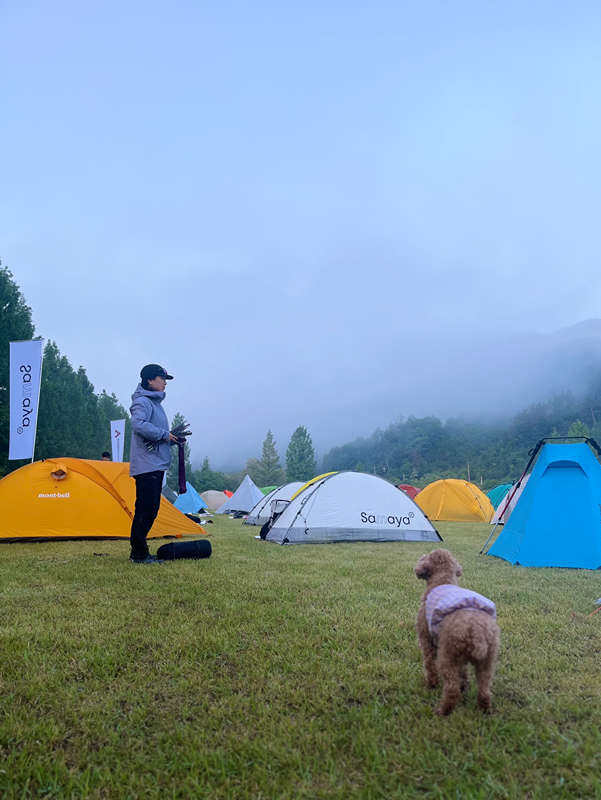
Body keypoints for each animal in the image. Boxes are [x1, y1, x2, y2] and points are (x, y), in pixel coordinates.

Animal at [414, 552, 500, 712]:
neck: (442, 581)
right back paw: (485, 710)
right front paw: (464, 685)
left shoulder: (426, 639)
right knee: (484, 689)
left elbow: (429, 665)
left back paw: (442, 711)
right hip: (487, 660)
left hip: (447, 656)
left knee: (452, 688)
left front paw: (430, 684)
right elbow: (464, 672)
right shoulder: (461, 658)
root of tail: (477, 629)